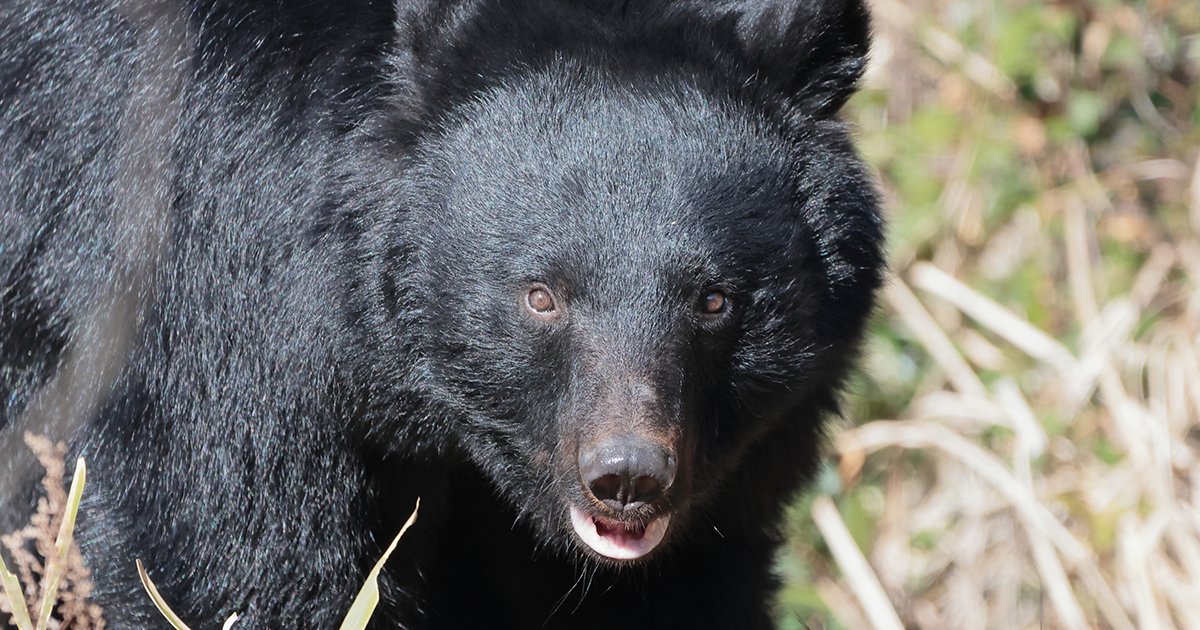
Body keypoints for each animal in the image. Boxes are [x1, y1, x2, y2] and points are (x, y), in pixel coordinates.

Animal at [0, 0, 883, 624]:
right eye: (541, 296)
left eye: (714, 299)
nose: (628, 478)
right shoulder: (211, 312)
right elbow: (216, 558)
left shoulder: (729, 472)